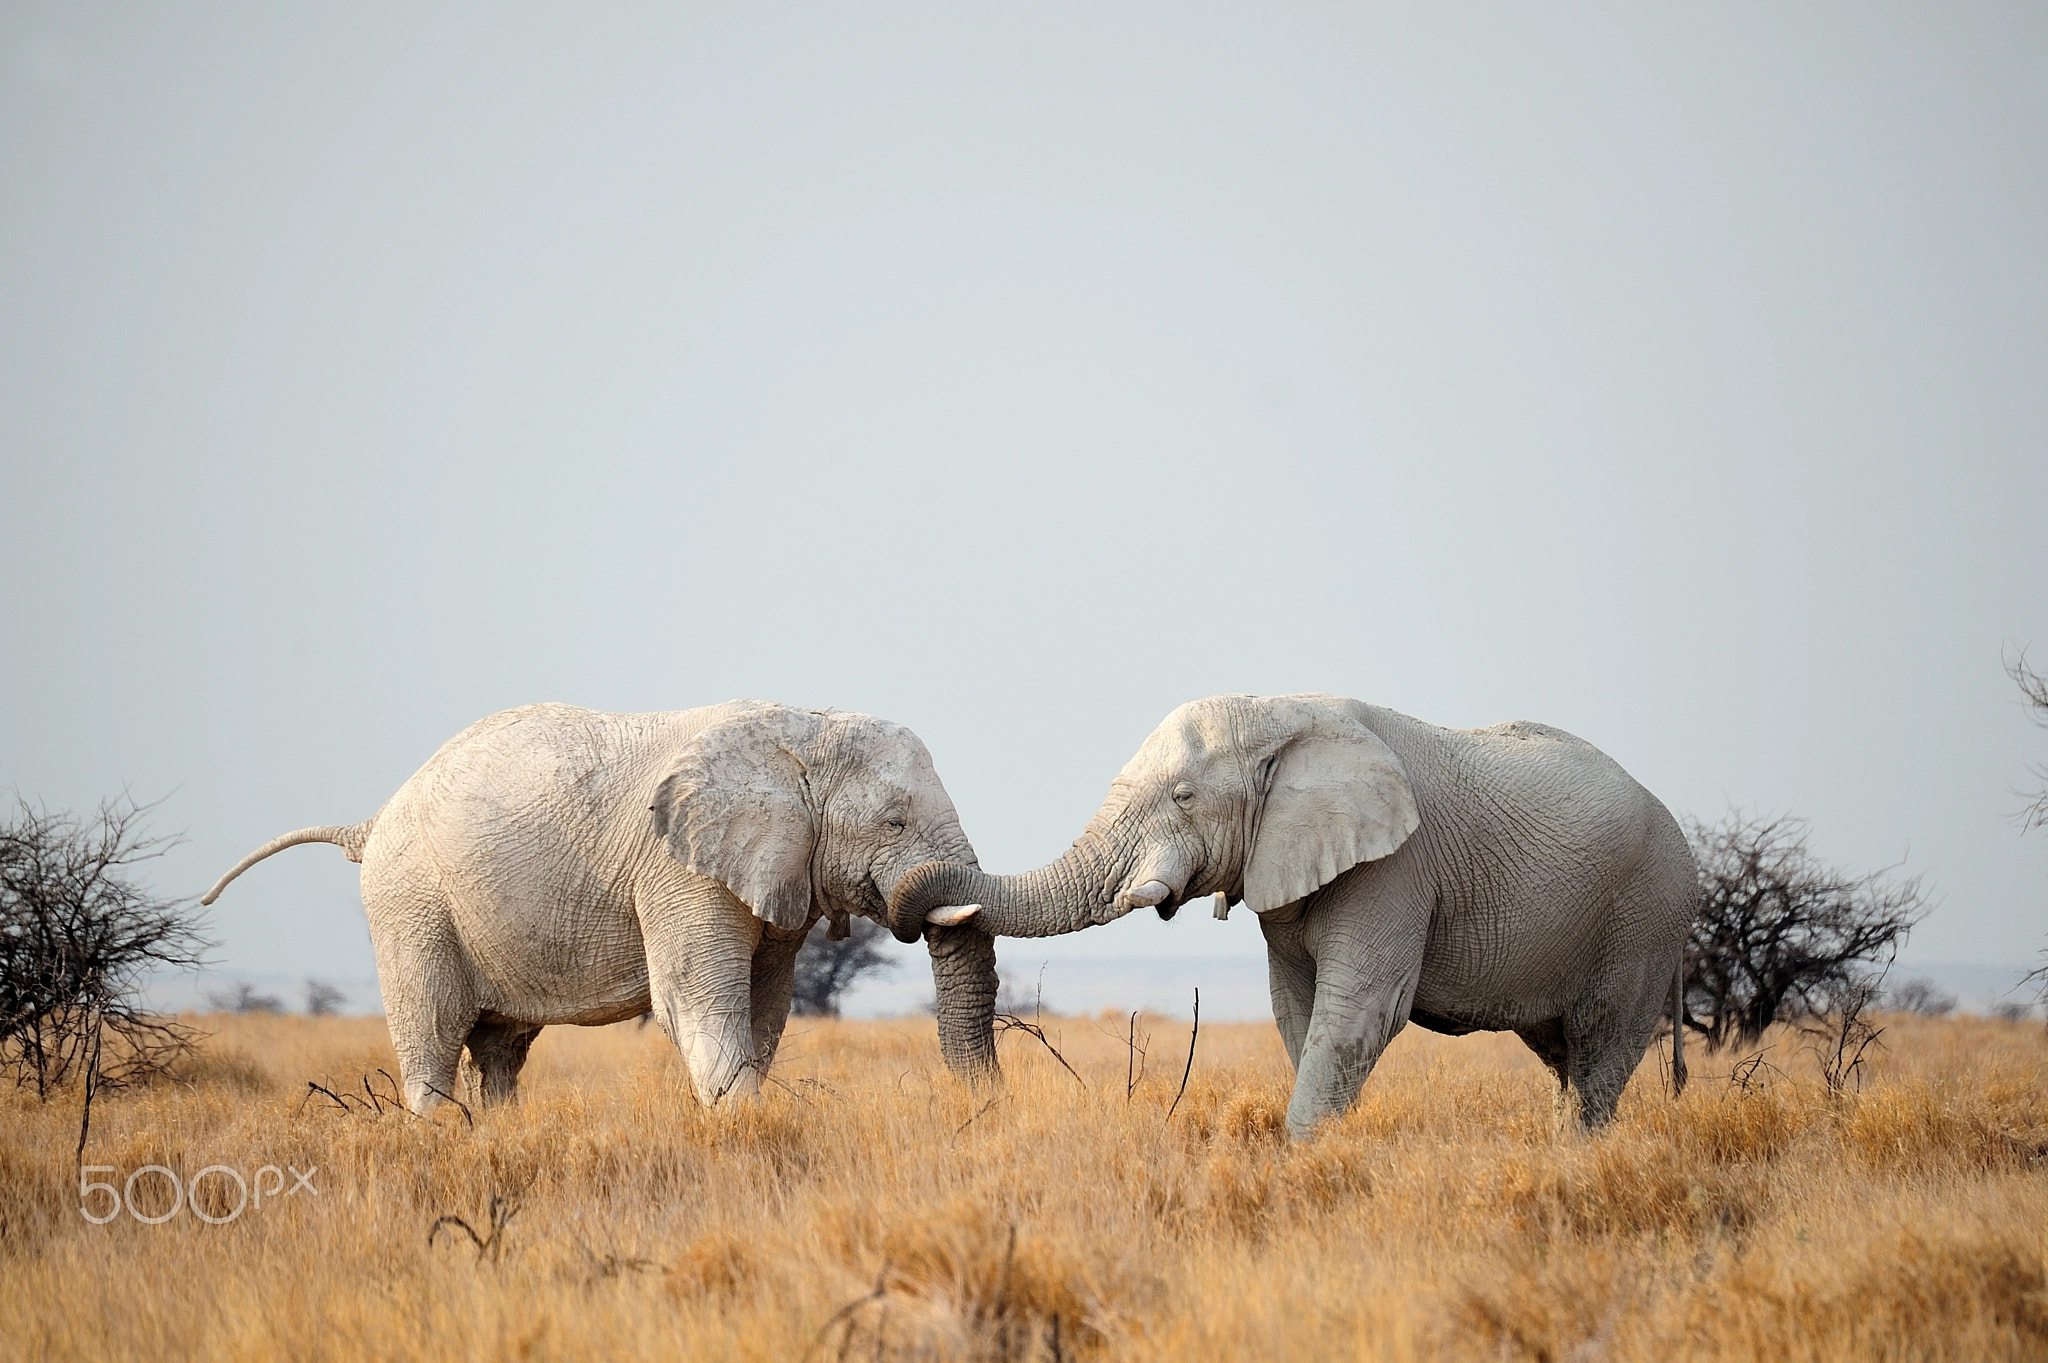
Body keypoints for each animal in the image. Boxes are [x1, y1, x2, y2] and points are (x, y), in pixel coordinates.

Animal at [204, 700, 999, 1114]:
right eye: (894, 822)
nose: (981, 1097)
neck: (800, 727)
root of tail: (368, 824)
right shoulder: (677, 868)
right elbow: (698, 1001)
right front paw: (739, 1128)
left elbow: (766, 1005)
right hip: (411, 904)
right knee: (430, 1035)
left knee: (500, 1050)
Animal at [889, 693, 1694, 1138]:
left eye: (1183, 796)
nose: (912, 912)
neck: (1281, 709)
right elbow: (1296, 1007)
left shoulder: (1397, 866)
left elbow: (1359, 1008)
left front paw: (1301, 1151)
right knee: (1564, 1055)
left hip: (1645, 918)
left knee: (1599, 1047)